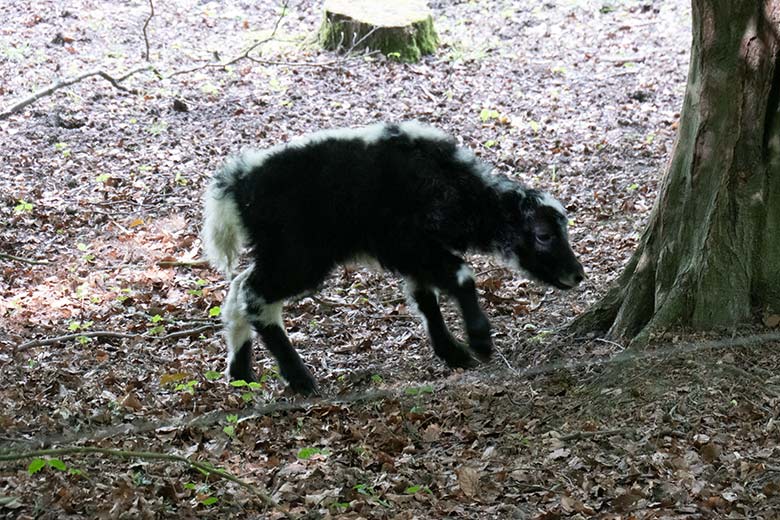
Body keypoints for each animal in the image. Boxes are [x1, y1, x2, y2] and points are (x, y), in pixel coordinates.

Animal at [204, 122, 580, 396]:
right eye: (543, 235)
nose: (577, 274)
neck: (453, 186)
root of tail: (238, 181)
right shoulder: (409, 244)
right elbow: (460, 275)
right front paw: (480, 341)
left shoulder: (415, 255)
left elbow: (425, 298)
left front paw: (453, 352)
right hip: (300, 256)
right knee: (254, 294)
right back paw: (299, 379)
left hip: (280, 252)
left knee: (238, 289)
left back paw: (241, 372)